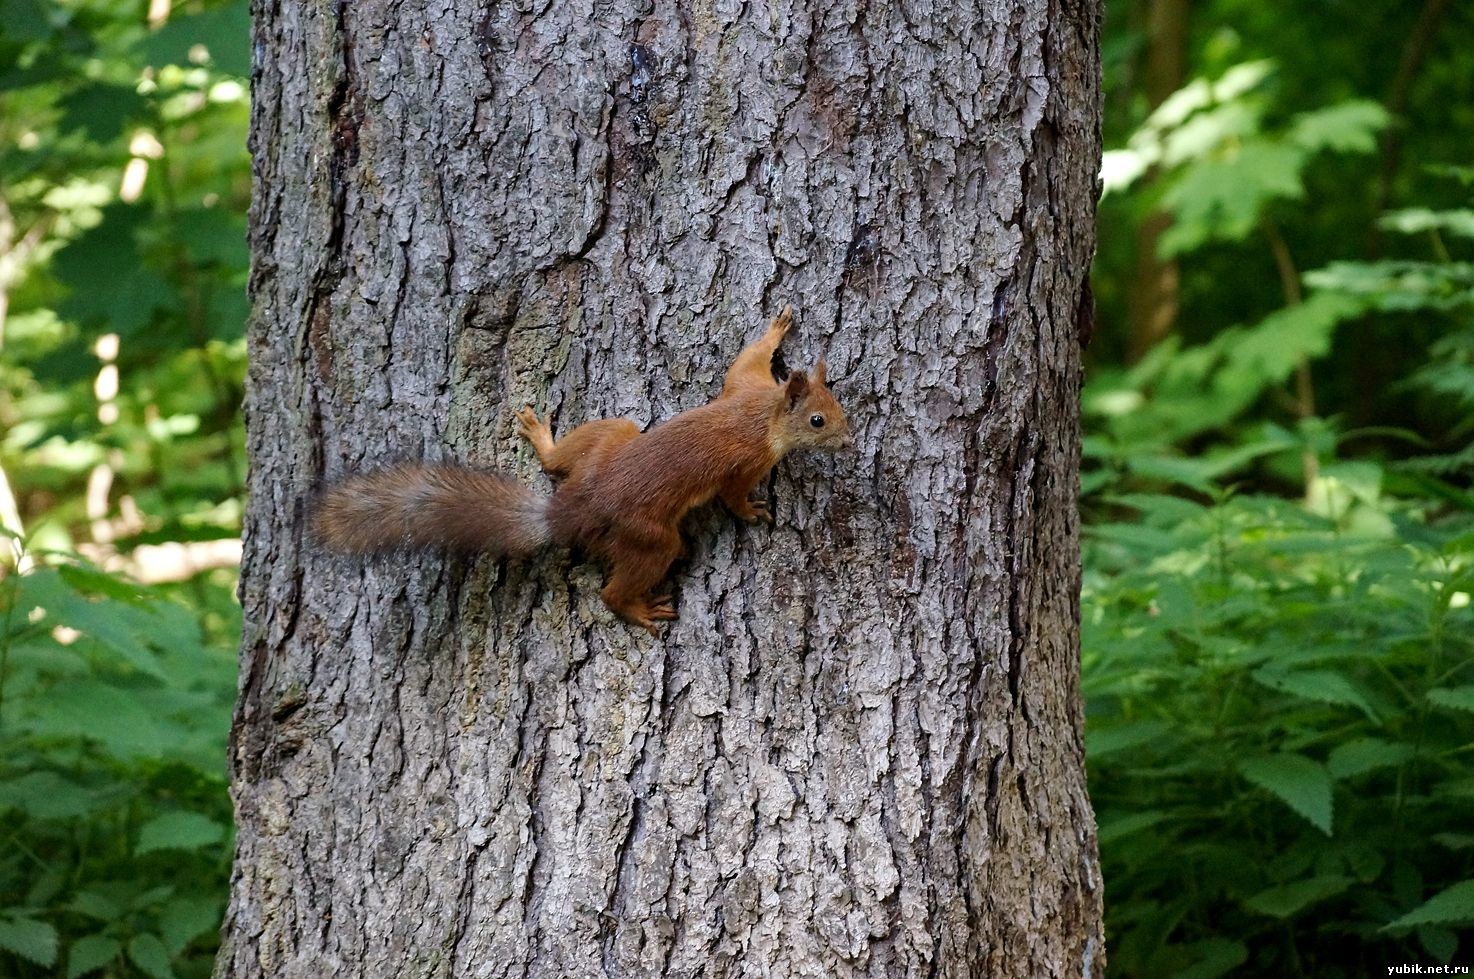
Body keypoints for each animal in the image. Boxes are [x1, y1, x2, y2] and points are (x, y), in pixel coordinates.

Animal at [316, 306, 860, 633]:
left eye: (837, 404)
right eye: (818, 420)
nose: (850, 441)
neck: (764, 413)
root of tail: (573, 509)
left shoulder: (745, 385)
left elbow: (744, 360)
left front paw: (775, 328)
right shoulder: (746, 459)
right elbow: (733, 495)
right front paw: (753, 512)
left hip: (609, 439)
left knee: (559, 459)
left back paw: (541, 436)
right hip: (649, 538)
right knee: (613, 589)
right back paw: (638, 608)